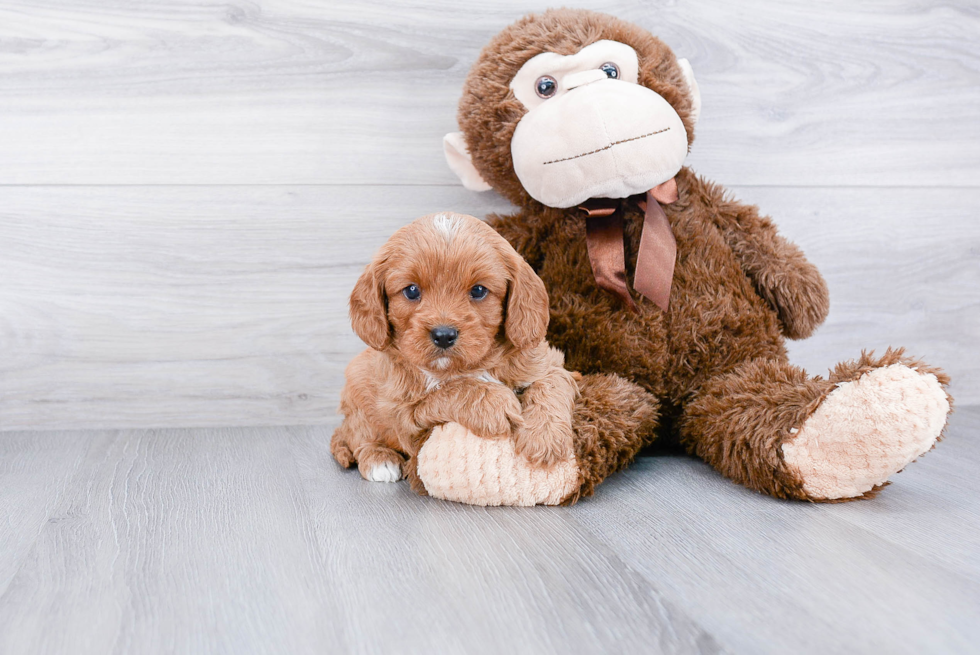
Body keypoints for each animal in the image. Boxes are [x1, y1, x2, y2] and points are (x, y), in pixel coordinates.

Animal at [334, 213, 580, 484]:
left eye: (479, 290)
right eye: (411, 291)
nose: (443, 335)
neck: (467, 366)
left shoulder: (547, 363)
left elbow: (551, 385)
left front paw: (545, 438)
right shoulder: (402, 413)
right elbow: (447, 391)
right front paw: (494, 402)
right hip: (357, 398)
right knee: (358, 437)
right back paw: (379, 459)